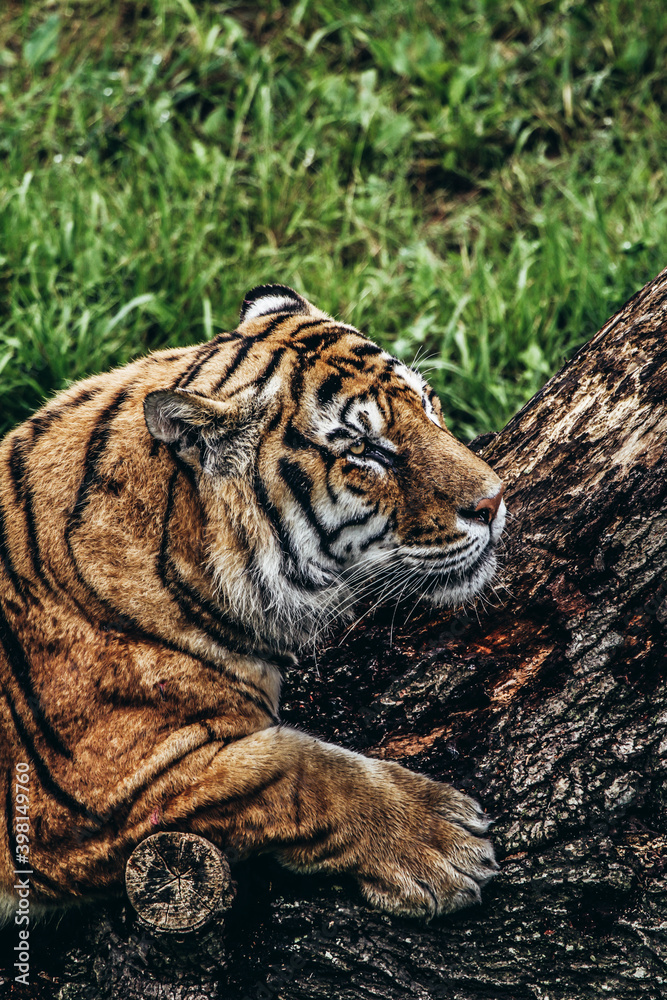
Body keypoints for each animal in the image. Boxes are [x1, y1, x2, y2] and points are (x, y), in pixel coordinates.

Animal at [0, 284, 506, 925]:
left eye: (428, 403)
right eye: (364, 450)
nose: (494, 501)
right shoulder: (92, 801)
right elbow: (294, 769)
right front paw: (441, 840)